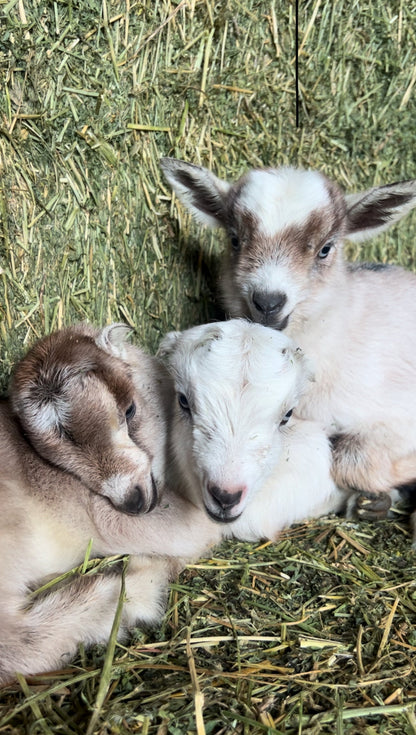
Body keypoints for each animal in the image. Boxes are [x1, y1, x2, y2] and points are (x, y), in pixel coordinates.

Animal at [0, 324, 219, 688]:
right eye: (52, 456)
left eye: (130, 411)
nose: (133, 501)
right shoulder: (108, 518)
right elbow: (205, 529)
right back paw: (141, 583)